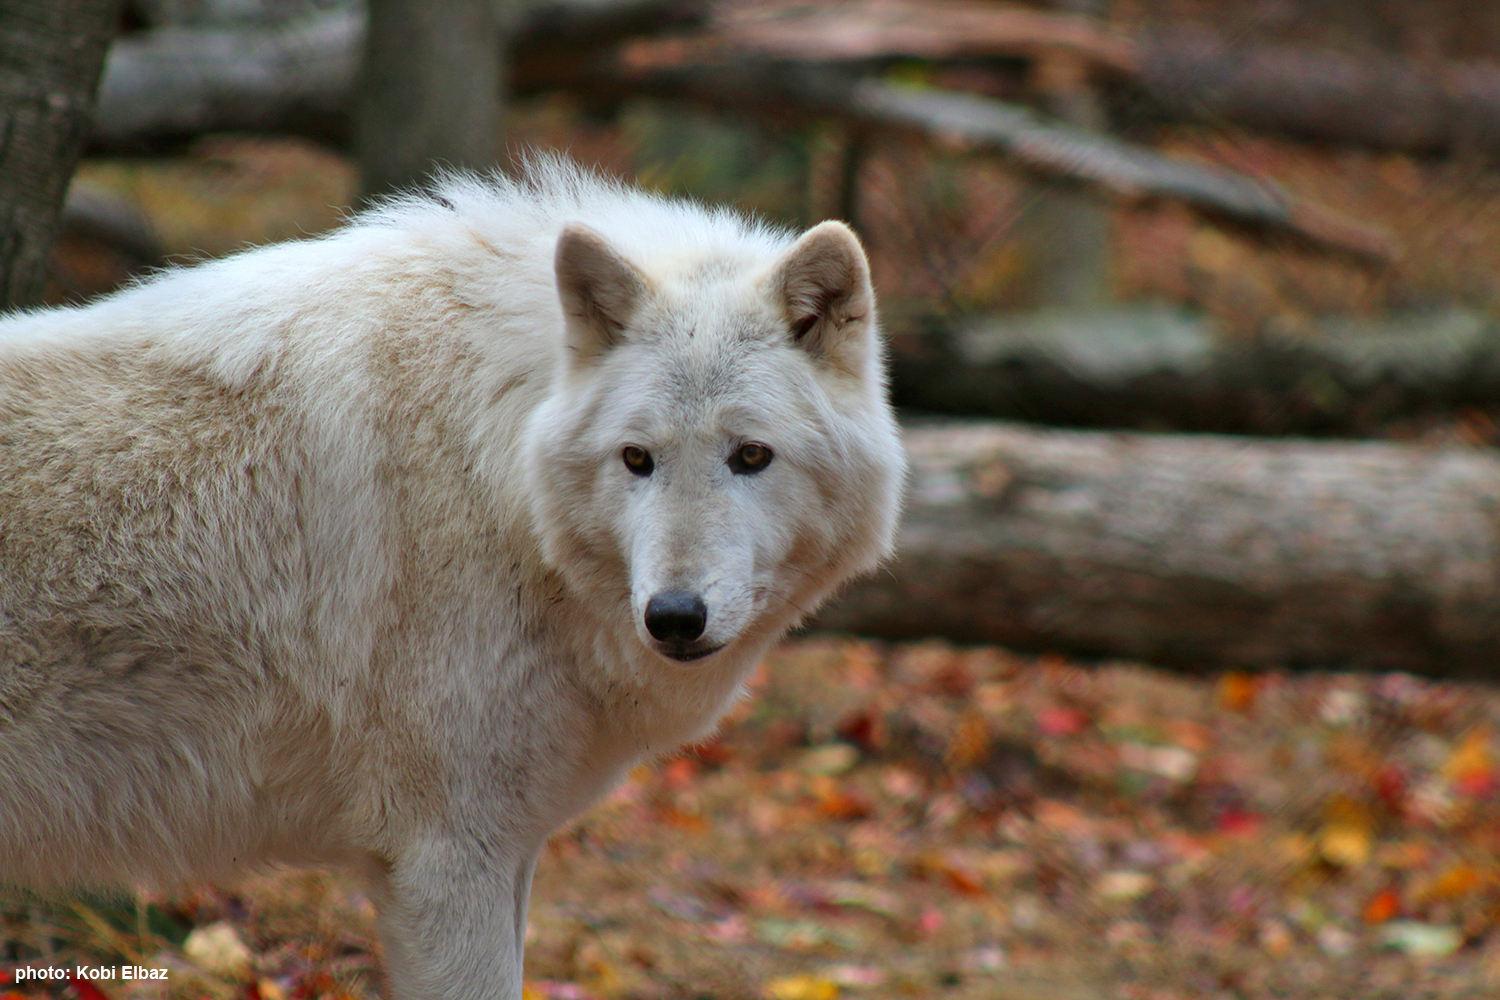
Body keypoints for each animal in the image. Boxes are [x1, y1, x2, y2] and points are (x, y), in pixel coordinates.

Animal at [0, 160, 900, 995]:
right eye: (637, 459)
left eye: (750, 456)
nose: (673, 617)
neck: (494, 467)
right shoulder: (443, 858)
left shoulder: (507, 850)